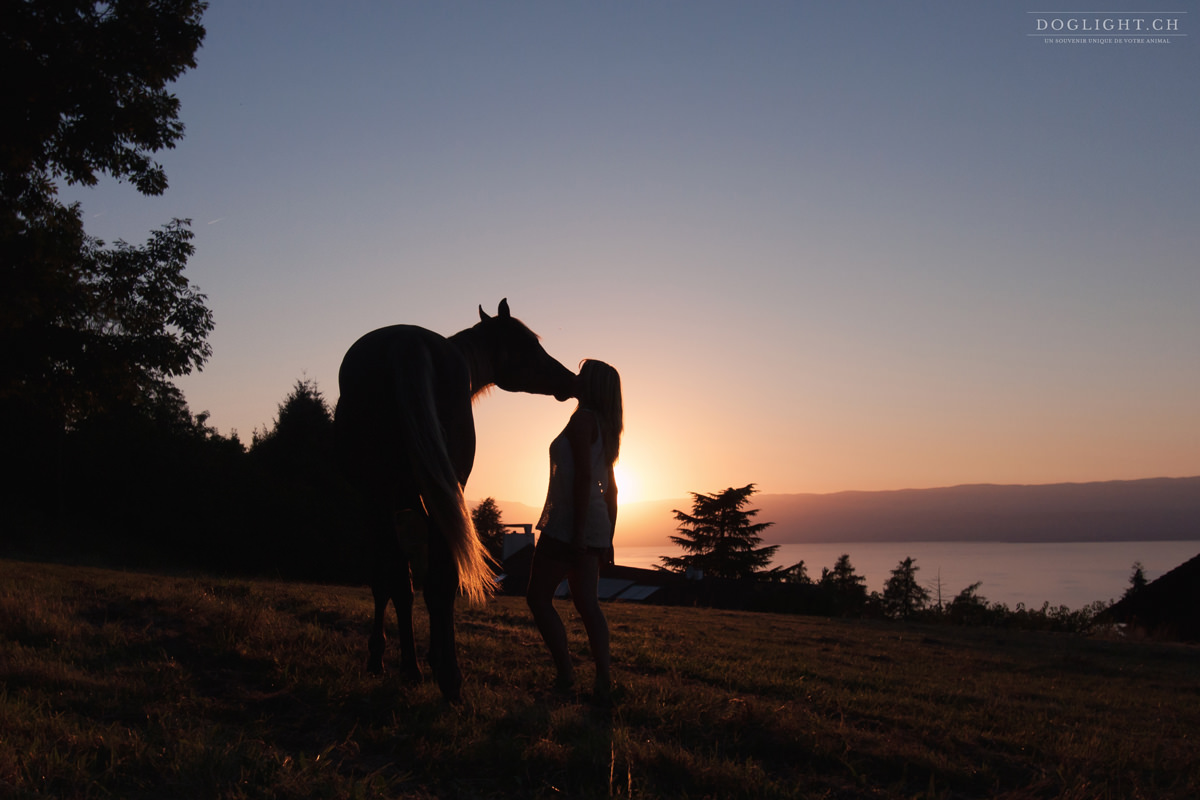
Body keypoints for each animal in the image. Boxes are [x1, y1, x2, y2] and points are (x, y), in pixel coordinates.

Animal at [333, 299, 576, 700]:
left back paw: (421, 669)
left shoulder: (383, 507)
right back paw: (442, 672)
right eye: (529, 345)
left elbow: (387, 582)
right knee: (434, 582)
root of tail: (405, 345)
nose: (569, 380)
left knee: (410, 580)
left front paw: (380, 657)